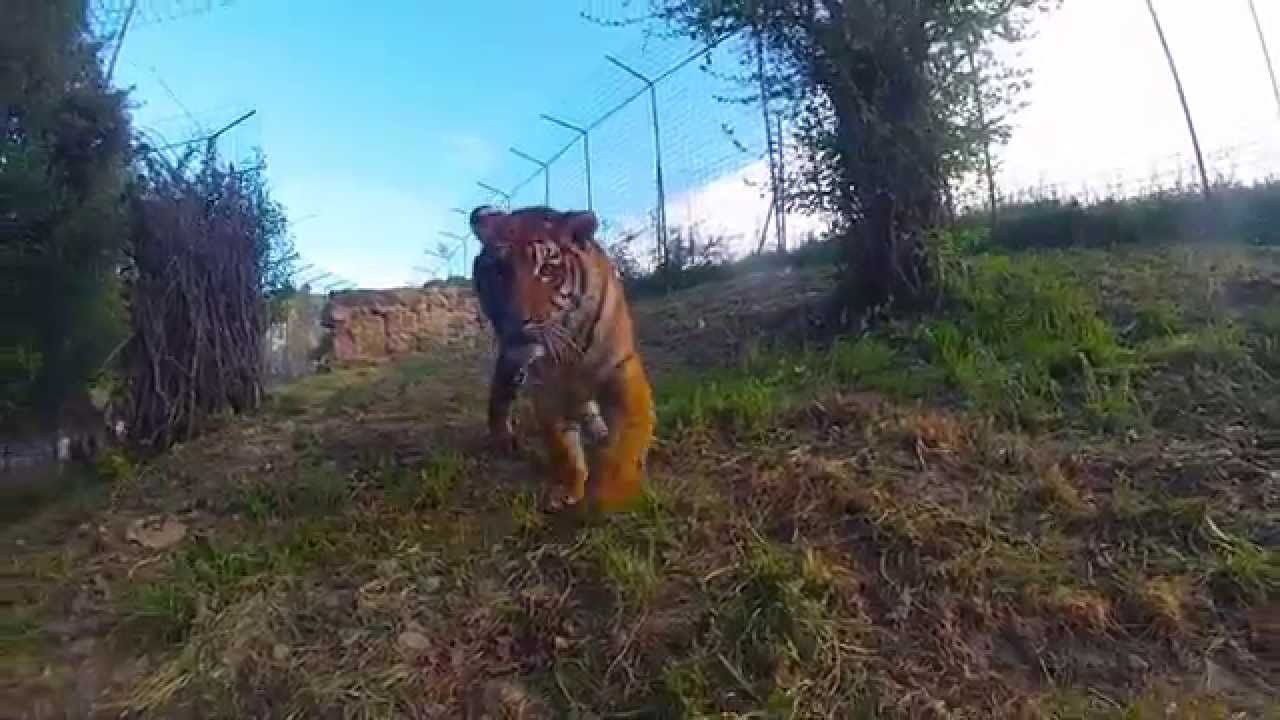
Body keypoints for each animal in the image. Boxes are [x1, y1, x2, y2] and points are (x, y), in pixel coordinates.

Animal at [470, 205, 655, 513]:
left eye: (547, 270)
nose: (515, 320)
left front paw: (611, 495)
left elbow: (626, 439)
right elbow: (562, 446)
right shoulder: (547, 388)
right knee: (501, 394)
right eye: (499, 270)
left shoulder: (619, 369)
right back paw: (503, 438)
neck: (571, 343)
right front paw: (567, 490)